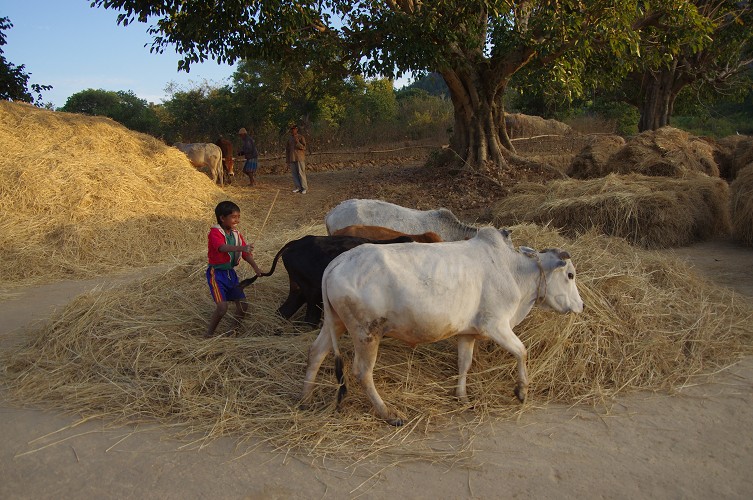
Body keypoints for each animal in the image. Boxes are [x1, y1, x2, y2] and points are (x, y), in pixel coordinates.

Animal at [300, 228, 580, 426]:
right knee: (362, 371)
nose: (581, 305)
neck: (513, 271)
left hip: (336, 322)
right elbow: (522, 351)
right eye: (570, 275)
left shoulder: (468, 333)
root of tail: (338, 262)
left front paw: (463, 397)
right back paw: (389, 413)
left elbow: (464, 363)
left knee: (316, 352)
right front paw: (521, 391)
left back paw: (305, 399)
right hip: (366, 333)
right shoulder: (495, 325)